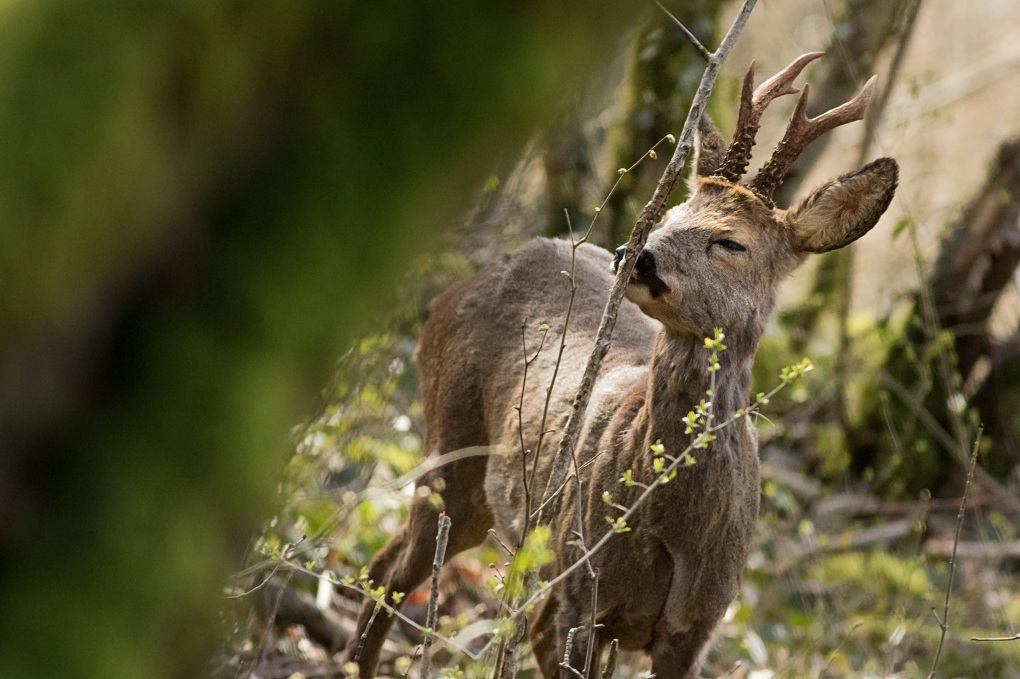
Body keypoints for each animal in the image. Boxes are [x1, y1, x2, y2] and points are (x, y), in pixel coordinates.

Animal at [346, 54, 897, 676]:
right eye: (672, 212)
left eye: (731, 242)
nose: (637, 254)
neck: (671, 528)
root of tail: (456, 288)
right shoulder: (576, 595)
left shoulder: (697, 625)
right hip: (451, 449)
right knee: (391, 573)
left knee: (389, 567)